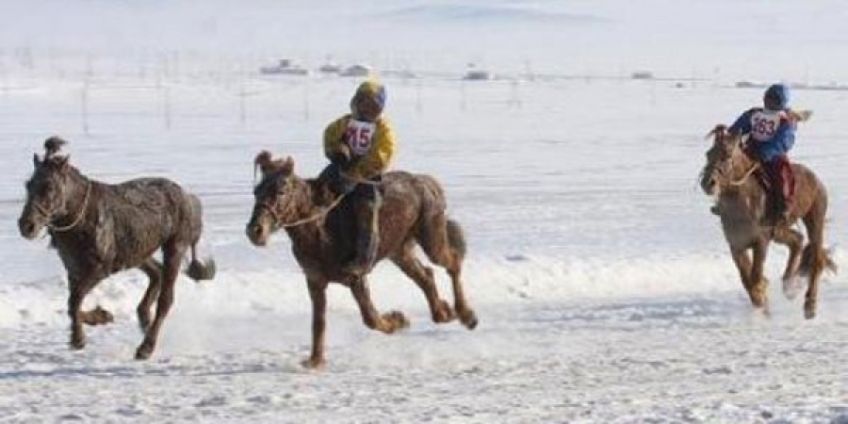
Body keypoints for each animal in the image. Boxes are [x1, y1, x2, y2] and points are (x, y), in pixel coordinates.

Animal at [245, 152, 476, 368]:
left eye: (281, 191)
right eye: (256, 191)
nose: (255, 231)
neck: (318, 228)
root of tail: (428, 182)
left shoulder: (355, 276)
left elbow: (371, 318)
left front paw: (398, 320)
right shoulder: (315, 281)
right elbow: (318, 323)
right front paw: (315, 361)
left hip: (431, 238)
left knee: (453, 262)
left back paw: (466, 314)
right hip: (399, 250)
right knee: (425, 275)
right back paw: (443, 312)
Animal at [704, 126, 836, 318]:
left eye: (726, 155)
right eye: (708, 154)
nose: (708, 183)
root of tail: (815, 179)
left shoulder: (761, 241)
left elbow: (755, 276)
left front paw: (762, 296)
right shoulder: (736, 244)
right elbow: (746, 278)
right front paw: (762, 303)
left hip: (814, 219)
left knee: (816, 259)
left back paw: (809, 306)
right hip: (779, 230)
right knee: (797, 240)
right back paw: (789, 286)